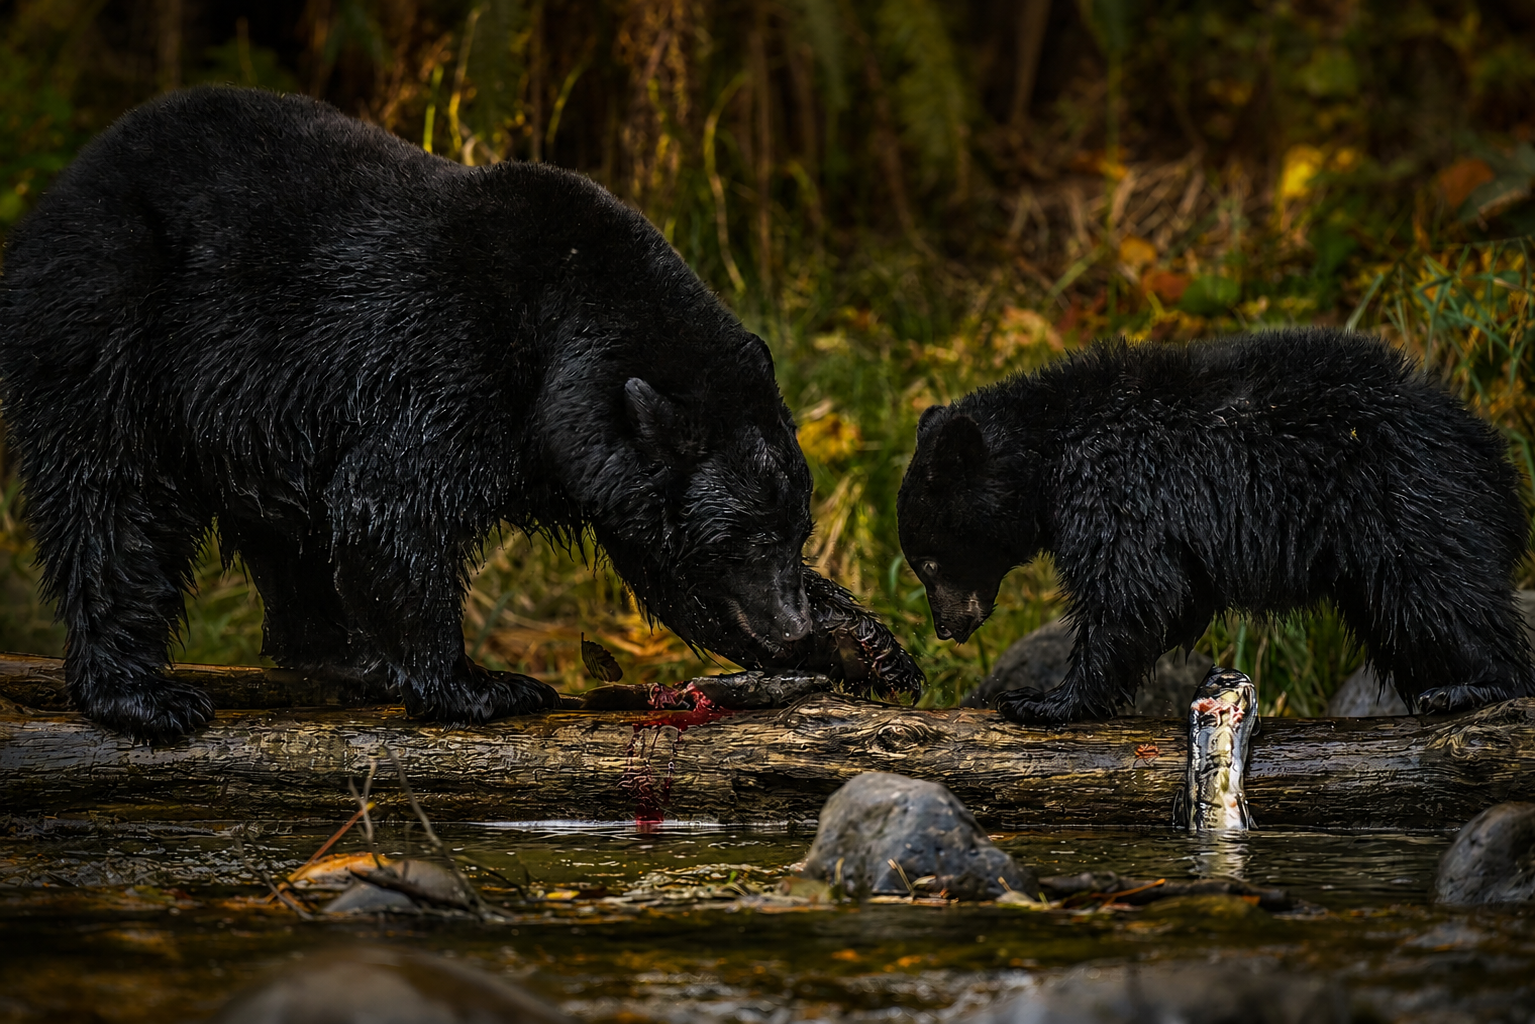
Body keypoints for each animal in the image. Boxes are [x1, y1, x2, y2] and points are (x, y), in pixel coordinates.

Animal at [0, 86, 919, 743]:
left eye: (796, 528)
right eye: (750, 537)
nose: (789, 626)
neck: (560, 324)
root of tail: (64, 186)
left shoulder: (605, 461)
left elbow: (672, 573)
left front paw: (869, 647)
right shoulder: (451, 363)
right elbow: (390, 504)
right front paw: (482, 685)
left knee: (282, 529)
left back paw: (341, 652)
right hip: (115, 320)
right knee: (114, 499)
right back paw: (142, 694)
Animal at [897, 328, 1535, 723]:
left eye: (927, 561)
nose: (947, 628)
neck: (1047, 455)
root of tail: (1494, 460)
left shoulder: (1116, 487)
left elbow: (1131, 587)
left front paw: (1043, 700)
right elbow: (1174, 592)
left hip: (1409, 499)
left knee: (1441, 593)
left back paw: (1477, 686)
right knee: (1403, 619)